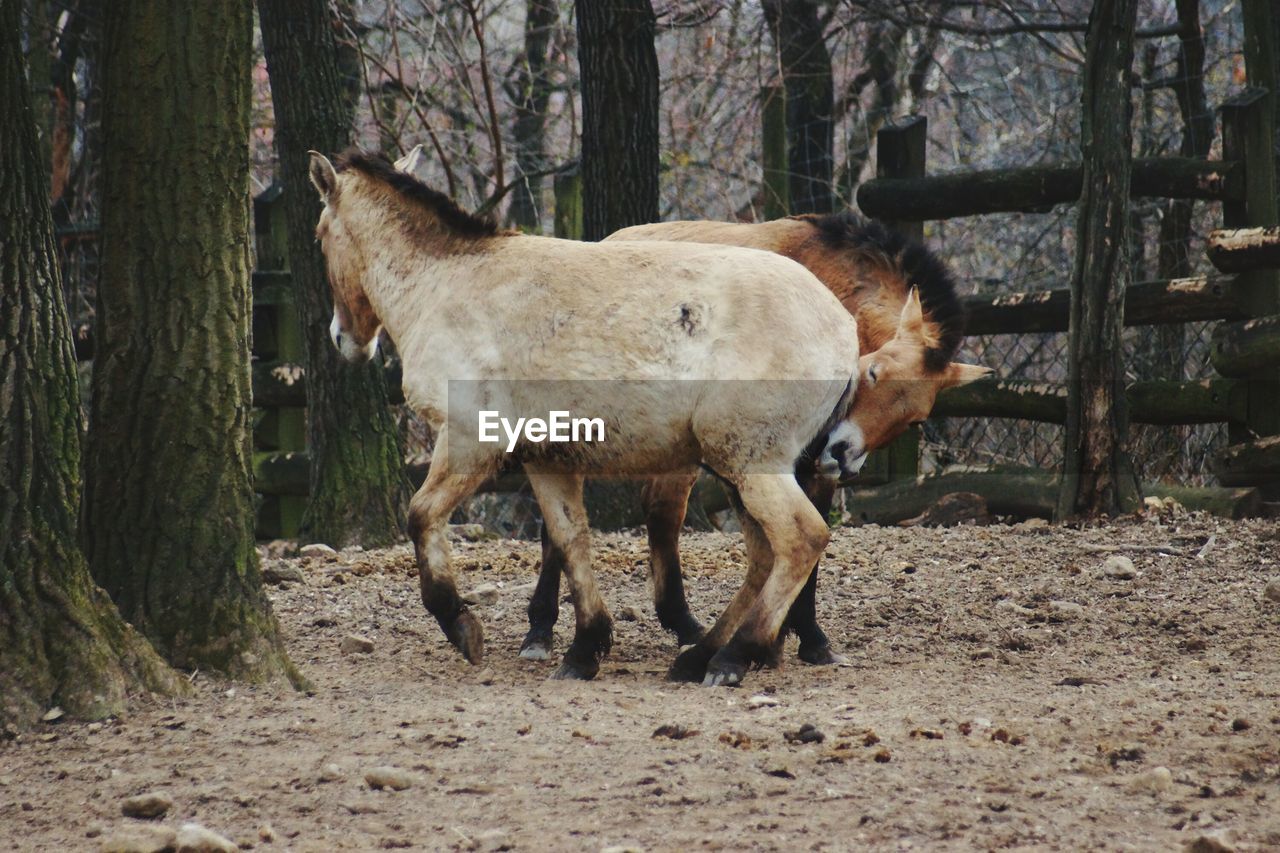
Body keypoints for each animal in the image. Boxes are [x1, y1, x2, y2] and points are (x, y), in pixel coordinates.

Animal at [311, 149, 875, 686]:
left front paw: (461, 626)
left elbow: (422, 515)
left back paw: (732, 658)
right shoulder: (545, 459)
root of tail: (842, 330)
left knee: (801, 539)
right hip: (736, 468)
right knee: (762, 557)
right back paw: (699, 656)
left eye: (319, 235)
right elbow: (570, 540)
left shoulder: (469, 442)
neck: (452, 285)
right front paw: (584, 650)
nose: (343, 339)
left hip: (748, 461)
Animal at [519, 213, 988, 671]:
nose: (843, 455)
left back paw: (683, 625)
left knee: (660, 512)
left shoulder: (807, 469)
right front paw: (776, 644)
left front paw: (802, 642)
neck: (833, 290)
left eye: (917, 418)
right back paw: (541, 631)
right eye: (874, 373)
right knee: (575, 525)